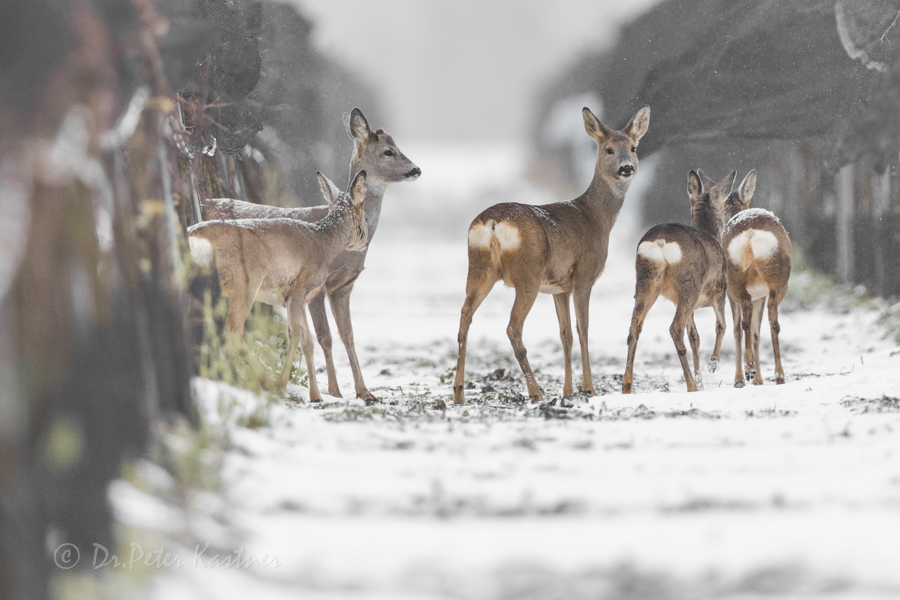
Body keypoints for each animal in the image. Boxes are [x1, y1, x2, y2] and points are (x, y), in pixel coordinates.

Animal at [188, 171, 370, 400]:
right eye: (366, 217)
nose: (365, 242)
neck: (324, 243)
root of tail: (193, 234)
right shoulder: (300, 288)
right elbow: (296, 336)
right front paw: (282, 383)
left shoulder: (296, 298)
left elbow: (308, 342)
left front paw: (316, 396)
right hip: (243, 284)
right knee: (233, 331)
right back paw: (266, 382)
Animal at [454, 104, 652, 404]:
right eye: (608, 149)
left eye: (633, 147)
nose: (626, 168)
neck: (596, 218)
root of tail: (492, 223)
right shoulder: (583, 275)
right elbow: (583, 329)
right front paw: (588, 388)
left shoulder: (560, 287)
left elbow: (565, 333)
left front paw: (568, 390)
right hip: (528, 274)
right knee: (512, 327)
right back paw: (535, 392)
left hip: (479, 268)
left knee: (465, 316)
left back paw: (458, 392)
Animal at [624, 169, 736, 394]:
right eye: (725, 206)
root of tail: (660, 241)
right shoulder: (720, 289)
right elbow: (721, 325)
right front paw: (713, 364)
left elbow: (695, 337)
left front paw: (702, 381)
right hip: (690, 284)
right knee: (675, 328)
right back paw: (691, 386)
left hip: (646, 280)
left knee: (634, 328)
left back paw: (627, 386)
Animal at [720, 169, 792, 386]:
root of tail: (750, 234)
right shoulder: (760, 294)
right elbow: (756, 332)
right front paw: (756, 379)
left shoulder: (743, 295)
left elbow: (741, 329)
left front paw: (742, 379)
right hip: (777, 281)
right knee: (773, 322)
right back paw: (778, 375)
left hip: (736, 282)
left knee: (746, 322)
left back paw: (751, 368)